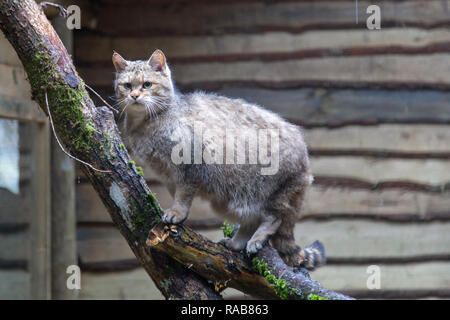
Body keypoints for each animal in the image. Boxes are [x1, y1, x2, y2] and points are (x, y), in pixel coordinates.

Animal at [112, 49, 324, 268]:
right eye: (127, 85)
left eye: (147, 84)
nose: (134, 95)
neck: (145, 125)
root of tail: (306, 160)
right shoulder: (168, 175)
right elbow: (176, 193)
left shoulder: (190, 165)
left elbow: (183, 195)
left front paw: (177, 212)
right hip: (230, 200)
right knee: (251, 221)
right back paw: (237, 242)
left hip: (270, 193)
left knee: (274, 218)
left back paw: (258, 238)